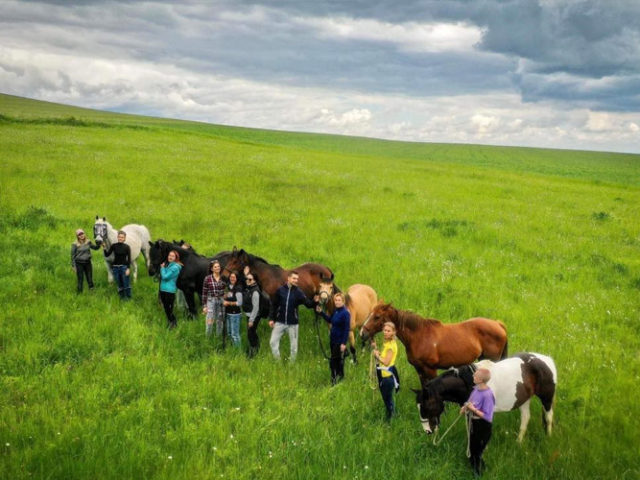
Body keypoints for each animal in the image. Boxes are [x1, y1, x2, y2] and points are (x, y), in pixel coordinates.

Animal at [360, 304, 510, 386]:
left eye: (377, 317)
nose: (362, 333)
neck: (419, 336)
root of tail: (498, 324)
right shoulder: (419, 369)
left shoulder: (431, 369)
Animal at [416, 352, 556, 442]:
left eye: (427, 405)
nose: (427, 431)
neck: (471, 383)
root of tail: (547, 360)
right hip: (524, 399)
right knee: (525, 419)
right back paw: (519, 442)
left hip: (547, 398)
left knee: (549, 417)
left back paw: (549, 438)